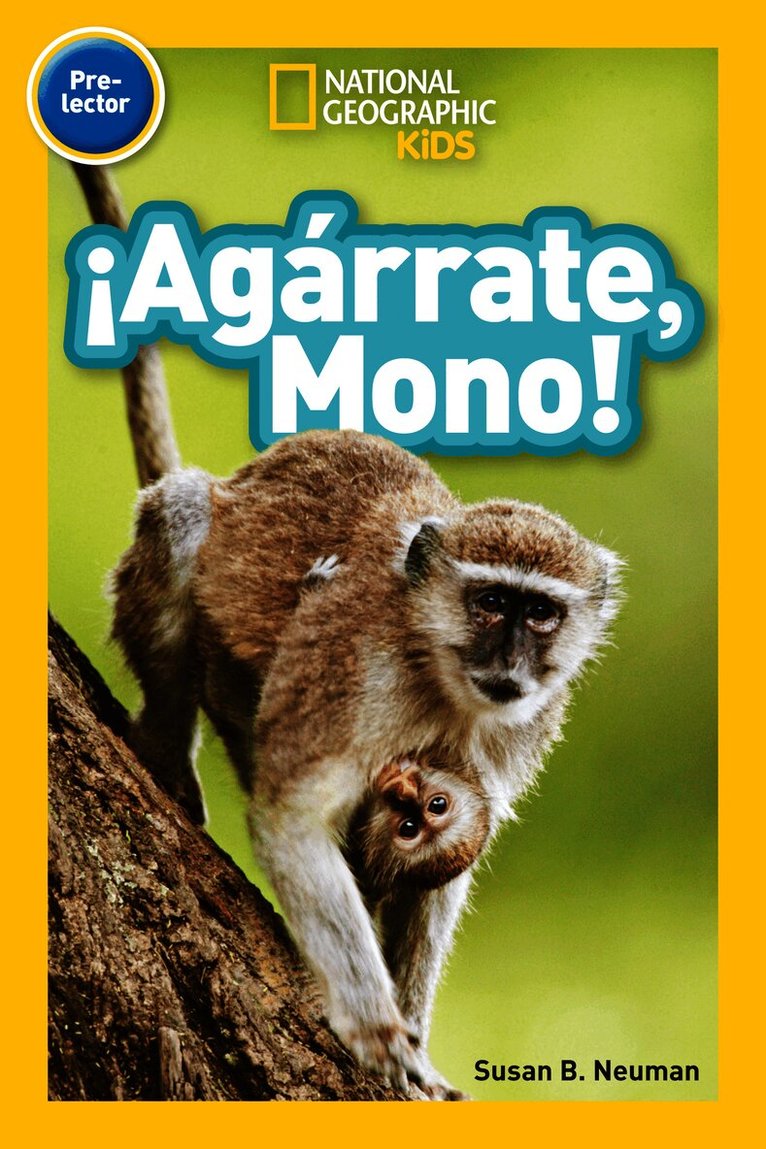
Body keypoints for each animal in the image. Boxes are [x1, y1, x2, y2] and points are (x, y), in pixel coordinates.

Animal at [74, 164, 622, 1100]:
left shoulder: (518, 733)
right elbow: (295, 815)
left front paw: (418, 1044)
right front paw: (375, 1024)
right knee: (182, 514)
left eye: (542, 613)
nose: (510, 662)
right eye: (491, 604)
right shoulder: (355, 670)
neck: (443, 679)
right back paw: (167, 739)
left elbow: (448, 869)